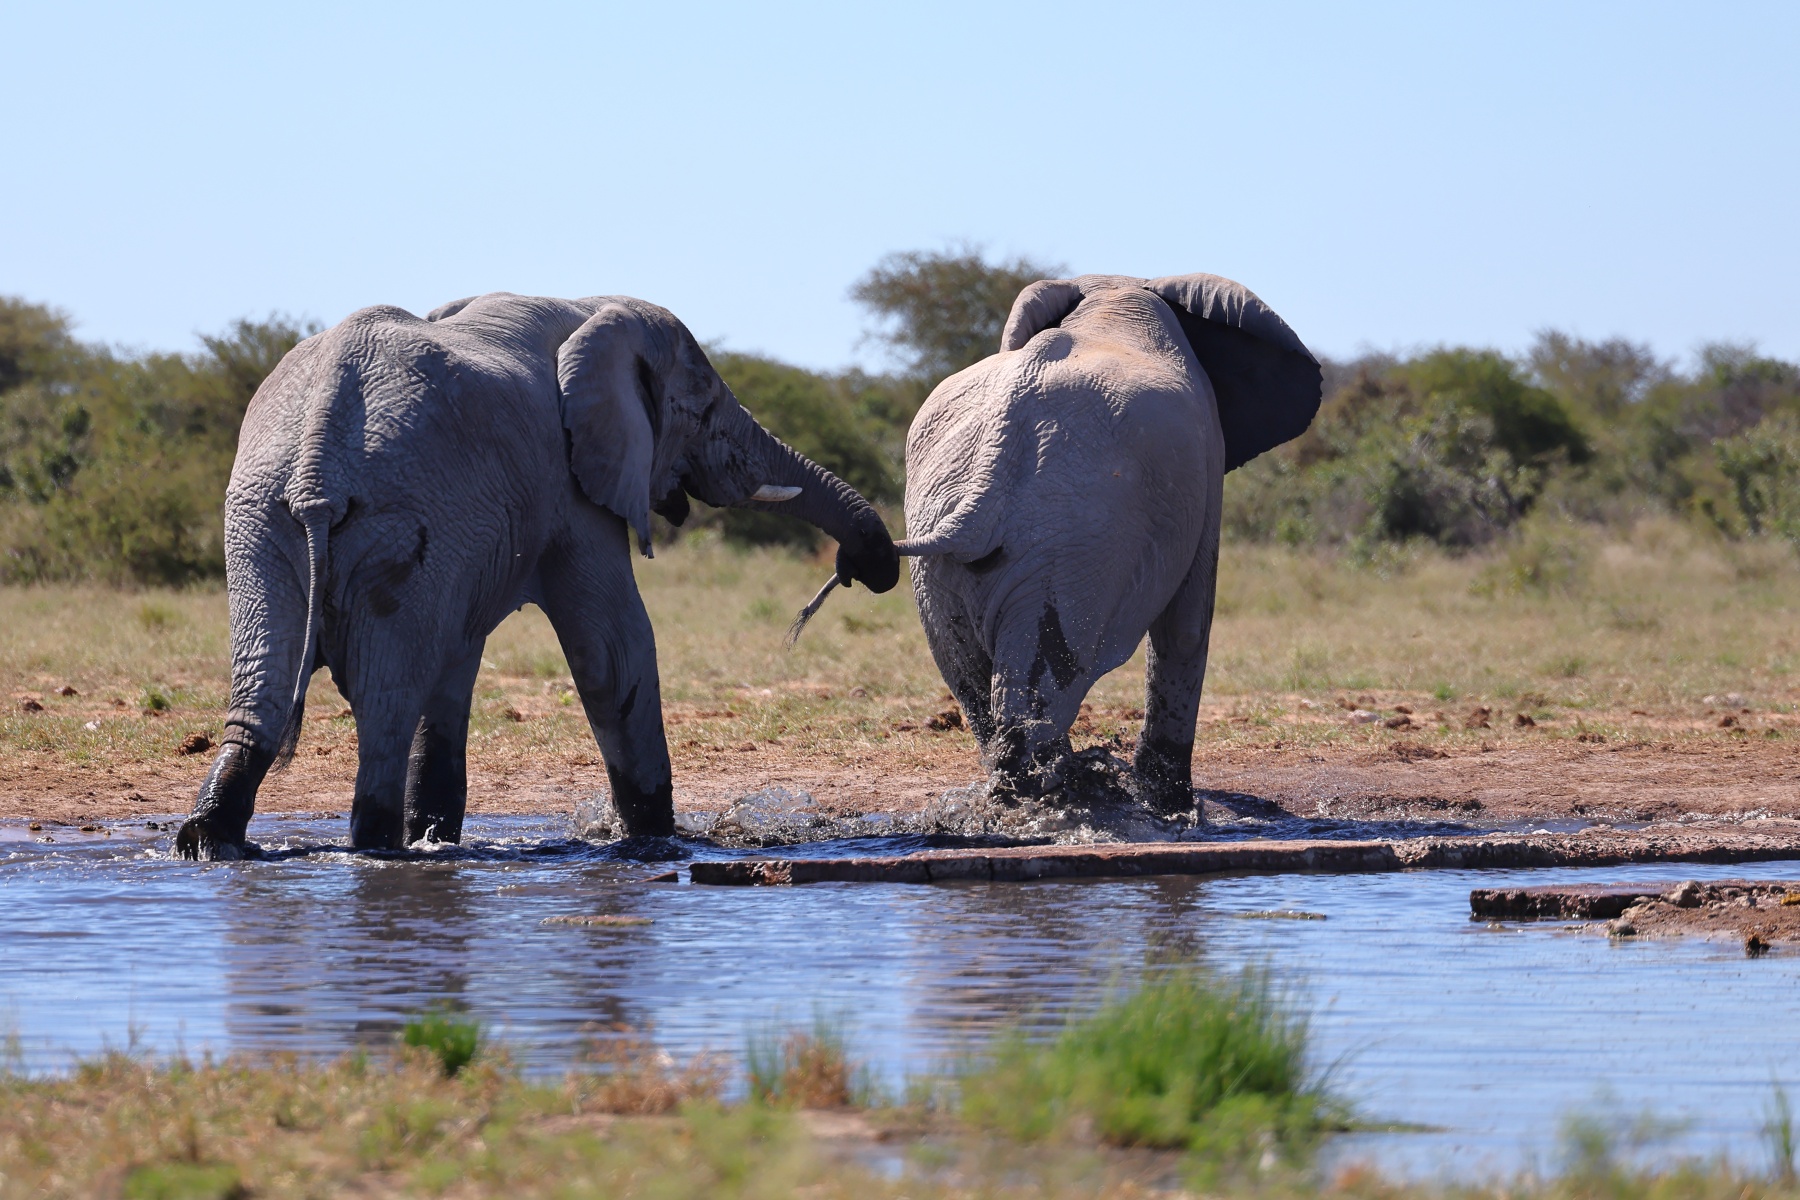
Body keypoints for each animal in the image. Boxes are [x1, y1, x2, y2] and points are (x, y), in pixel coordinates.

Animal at [175, 292, 898, 860]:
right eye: (704, 410)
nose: (866, 567)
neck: (589, 307)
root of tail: (316, 466)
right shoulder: (570, 492)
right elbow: (613, 649)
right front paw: (656, 844)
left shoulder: (470, 539)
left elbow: (456, 671)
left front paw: (438, 836)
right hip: (390, 525)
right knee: (384, 708)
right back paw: (374, 850)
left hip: (260, 524)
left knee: (265, 696)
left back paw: (210, 844)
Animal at [891, 272, 1320, 814]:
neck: (1112, 291)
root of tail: (994, 454)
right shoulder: (1207, 458)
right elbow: (1185, 627)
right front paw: (1171, 807)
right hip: (1072, 547)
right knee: (1045, 676)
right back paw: (1059, 799)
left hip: (954, 550)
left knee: (969, 677)